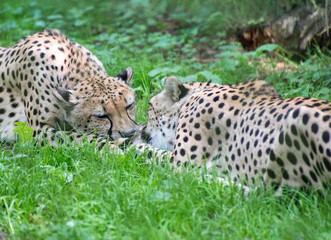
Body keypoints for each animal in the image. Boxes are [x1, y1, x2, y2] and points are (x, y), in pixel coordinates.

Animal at [0, 29, 137, 149]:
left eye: (129, 106)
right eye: (101, 116)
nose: (129, 134)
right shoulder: (37, 130)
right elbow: (76, 137)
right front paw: (112, 148)